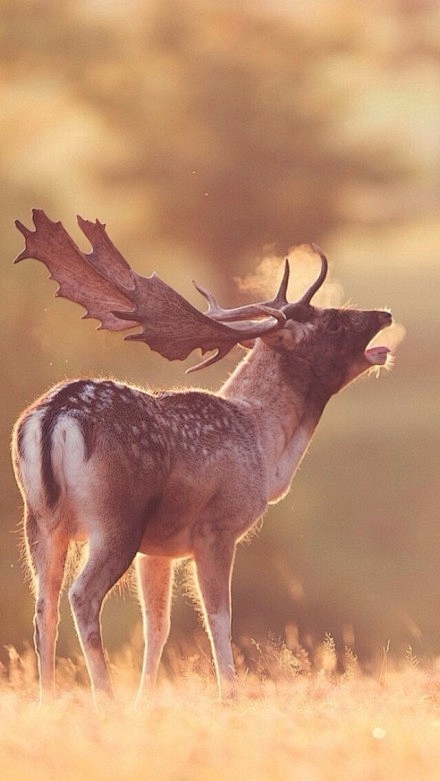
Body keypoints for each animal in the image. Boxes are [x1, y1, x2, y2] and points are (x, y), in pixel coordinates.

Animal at [12, 210, 394, 704]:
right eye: (331, 323)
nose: (384, 313)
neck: (265, 446)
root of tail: (54, 416)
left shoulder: (158, 550)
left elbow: (157, 626)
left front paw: (147, 699)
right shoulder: (217, 528)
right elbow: (218, 619)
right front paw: (229, 695)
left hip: (40, 521)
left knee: (44, 606)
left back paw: (47, 700)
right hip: (115, 521)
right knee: (82, 596)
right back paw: (105, 697)